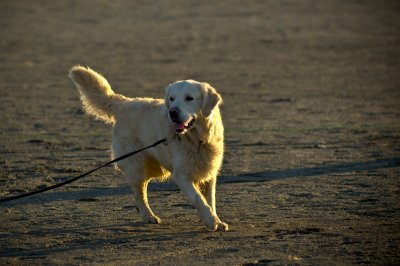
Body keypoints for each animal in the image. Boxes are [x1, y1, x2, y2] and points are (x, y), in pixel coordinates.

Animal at [69, 66, 228, 231]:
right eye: (171, 98)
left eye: (189, 98)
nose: (172, 112)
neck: (198, 140)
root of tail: (124, 103)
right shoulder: (181, 174)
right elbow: (198, 198)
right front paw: (210, 221)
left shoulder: (209, 170)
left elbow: (210, 200)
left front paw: (216, 220)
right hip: (136, 165)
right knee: (139, 194)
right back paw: (149, 216)